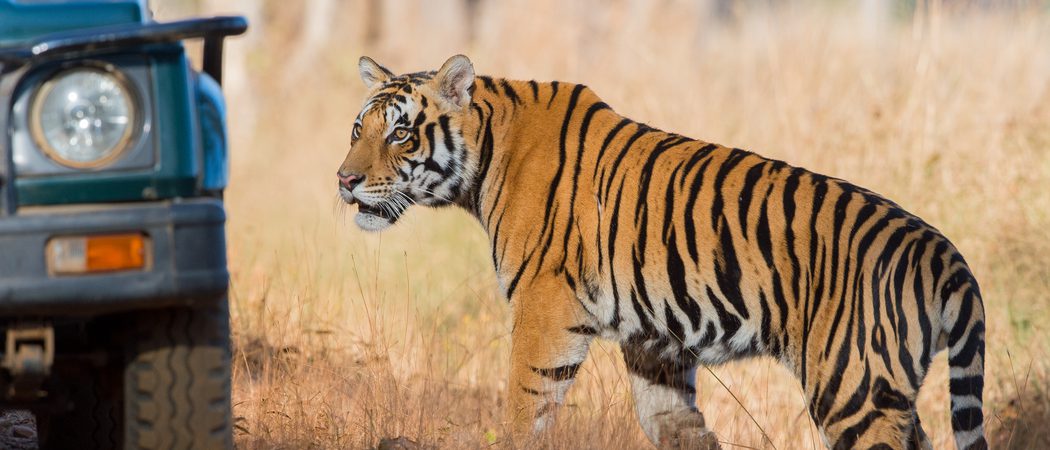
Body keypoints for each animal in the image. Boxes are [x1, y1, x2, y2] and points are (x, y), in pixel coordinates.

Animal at [335, 55, 987, 450]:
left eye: (400, 133)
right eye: (358, 129)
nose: (344, 180)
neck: (487, 155)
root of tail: (944, 254)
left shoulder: (546, 314)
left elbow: (524, 412)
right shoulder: (656, 344)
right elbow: (680, 426)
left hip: (854, 390)